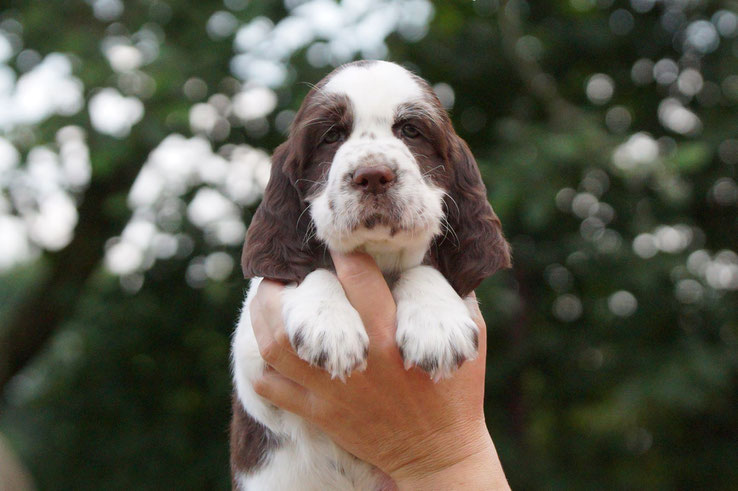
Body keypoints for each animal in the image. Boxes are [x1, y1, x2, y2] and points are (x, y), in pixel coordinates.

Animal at [231, 59, 512, 490]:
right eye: (331, 136)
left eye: (411, 130)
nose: (373, 175)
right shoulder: (255, 365)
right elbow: (311, 271)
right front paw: (328, 328)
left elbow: (427, 270)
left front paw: (437, 327)